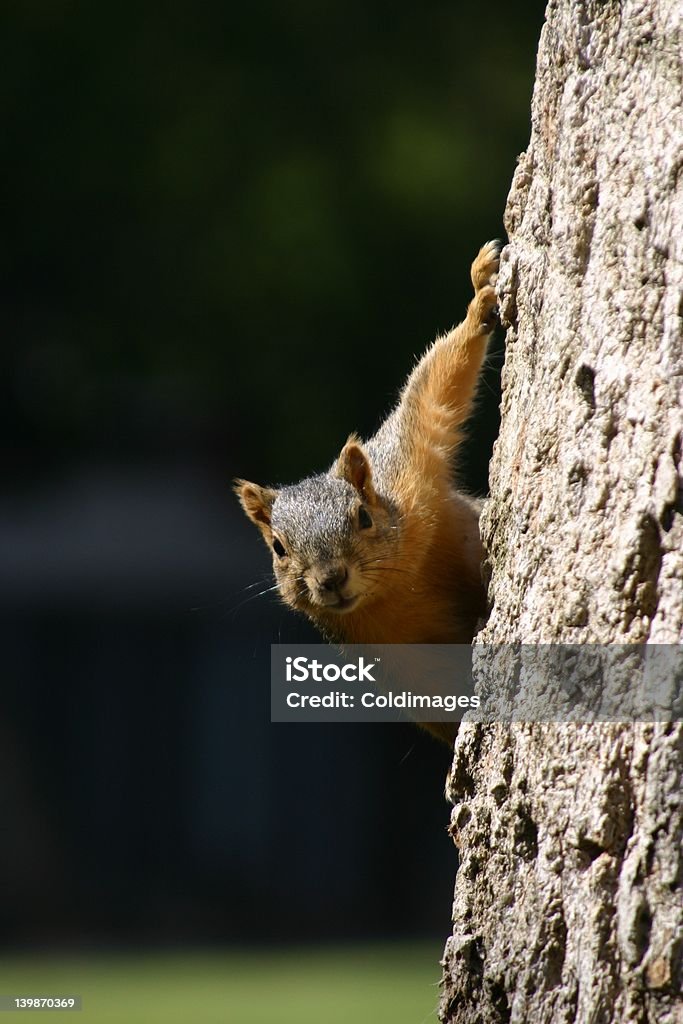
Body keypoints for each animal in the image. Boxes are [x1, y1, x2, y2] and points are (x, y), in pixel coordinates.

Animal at [237, 241, 499, 745]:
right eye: (278, 548)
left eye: (363, 516)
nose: (330, 579)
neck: (393, 587)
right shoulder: (393, 657)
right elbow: (433, 692)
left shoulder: (408, 466)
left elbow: (434, 388)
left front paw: (479, 297)